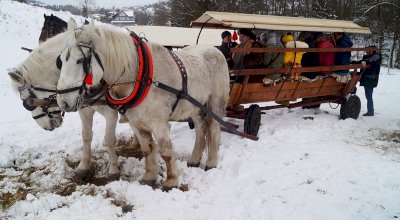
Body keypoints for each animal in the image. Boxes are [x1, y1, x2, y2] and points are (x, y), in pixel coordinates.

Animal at [8, 25, 123, 181]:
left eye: (27, 101)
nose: (45, 127)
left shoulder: (111, 112)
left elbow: (109, 139)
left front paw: (113, 170)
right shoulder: (84, 110)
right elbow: (86, 136)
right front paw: (83, 166)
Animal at [57, 19, 230, 190]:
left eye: (80, 60)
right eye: (60, 61)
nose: (63, 102)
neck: (140, 75)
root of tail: (214, 49)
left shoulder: (159, 123)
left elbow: (165, 151)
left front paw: (171, 181)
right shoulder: (136, 122)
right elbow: (147, 149)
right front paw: (149, 177)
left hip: (216, 101)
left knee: (214, 128)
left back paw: (211, 163)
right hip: (195, 105)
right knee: (201, 128)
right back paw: (194, 159)